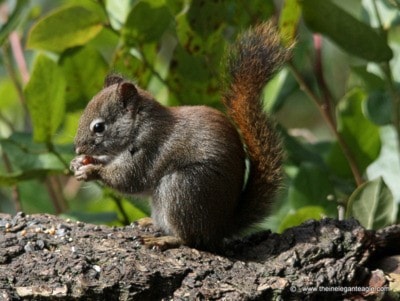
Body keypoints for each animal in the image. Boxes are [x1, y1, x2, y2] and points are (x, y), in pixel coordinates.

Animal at [70, 21, 290, 248]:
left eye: (99, 127)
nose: (77, 148)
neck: (139, 125)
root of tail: (221, 228)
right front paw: (80, 162)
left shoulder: (149, 147)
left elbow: (129, 178)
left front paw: (91, 171)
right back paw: (150, 222)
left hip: (182, 189)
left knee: (190, 238)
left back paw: (166, 239)